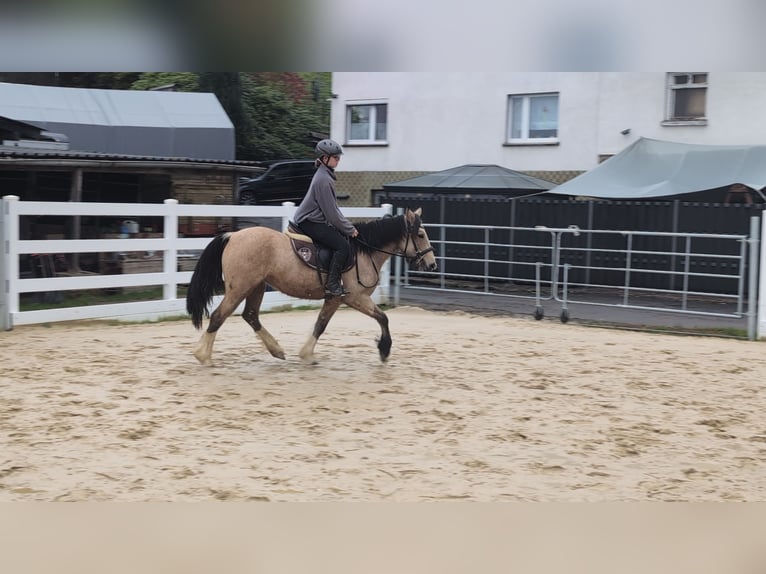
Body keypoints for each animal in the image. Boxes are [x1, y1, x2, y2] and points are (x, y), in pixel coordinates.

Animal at [186, 207, 437, 365]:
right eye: (421, 234)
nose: (432, 264)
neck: (363, 251)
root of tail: (232, 236)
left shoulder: (334, 299)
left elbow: (320, 324)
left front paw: (306, 354)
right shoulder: (353, 298)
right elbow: (382, 318)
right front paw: (384, 349)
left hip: (255, 287)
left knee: (250, 316)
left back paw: (276, 350)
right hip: (239, 288)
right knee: (219, 316)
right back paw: (203, 355)